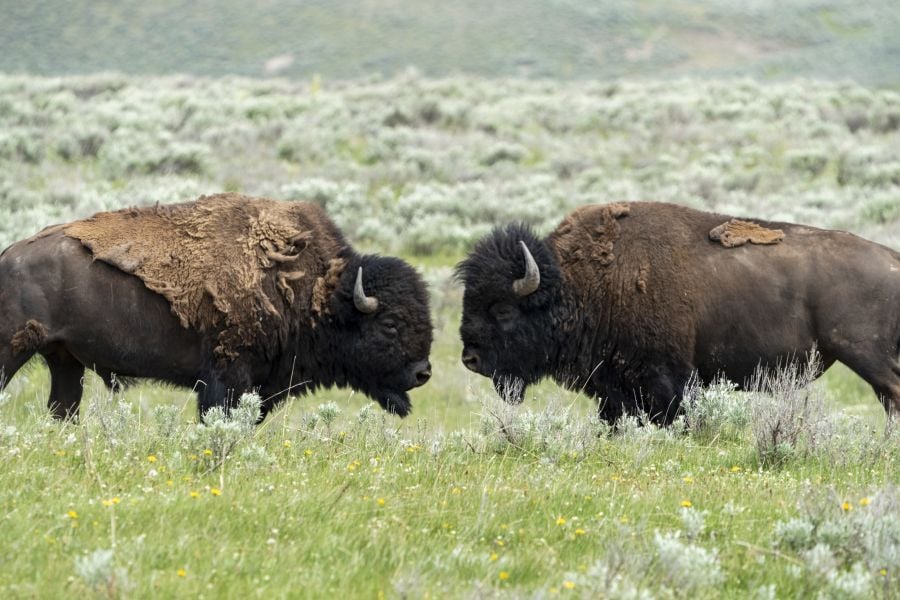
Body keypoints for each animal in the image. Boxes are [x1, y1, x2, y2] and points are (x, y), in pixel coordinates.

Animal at [0, 193, 433, 420]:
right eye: (390, 324)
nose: (423, 372)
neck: (315, 289)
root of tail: (9, 253)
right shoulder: (226, 377)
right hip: (14, 349)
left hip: (64, 360)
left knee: (62, 408)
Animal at [457, 201, 900, 424]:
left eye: (503, 309)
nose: (469, 358)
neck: (577, 284)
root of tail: (891, 256)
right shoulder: (615, 388)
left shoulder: (665, 378)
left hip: (864, 353)